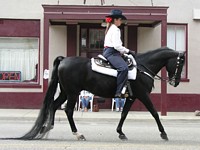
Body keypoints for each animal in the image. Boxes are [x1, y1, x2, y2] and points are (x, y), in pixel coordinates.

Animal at [19, 46, 185, 141]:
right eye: (180, 63)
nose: (176, 82)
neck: (143, 67)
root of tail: (64, 59)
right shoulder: (143, 95)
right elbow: (155, 113)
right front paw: (164, 133)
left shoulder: (131, 97)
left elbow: (124, 114)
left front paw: (120, 133)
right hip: (72, 93)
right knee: (68, 110)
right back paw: (77, 134)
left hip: (65, 92)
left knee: (53, 106)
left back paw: (47, 127)